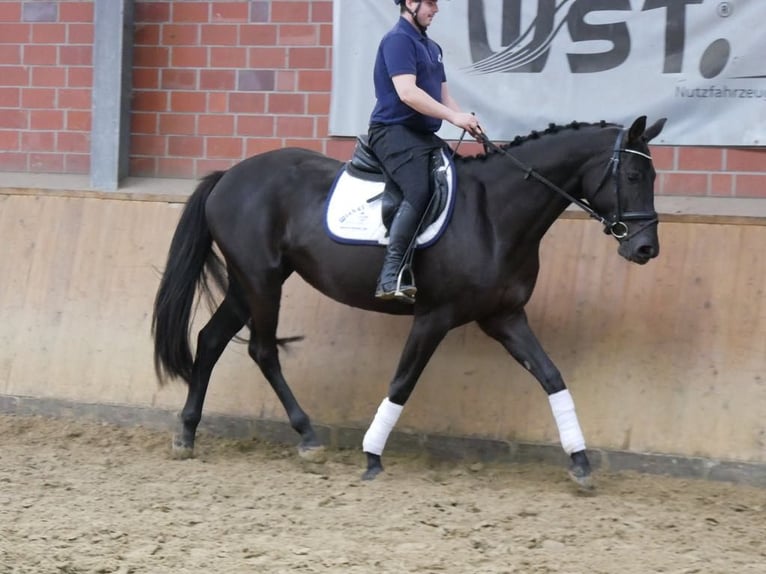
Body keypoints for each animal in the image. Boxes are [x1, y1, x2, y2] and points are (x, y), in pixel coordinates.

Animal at [153, 115, 668, 488]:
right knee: (261, 350)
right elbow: (403, 382)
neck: (493, 213)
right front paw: (371, 456)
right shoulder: (434, 316)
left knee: (211, 339)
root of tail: (229, 175)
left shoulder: (503, 316)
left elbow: (551, 376)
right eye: (634, 173)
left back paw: (187, 434)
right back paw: (308, 437)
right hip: (262, 282)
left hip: (250, 283)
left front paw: (580, 462)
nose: (646, 249)